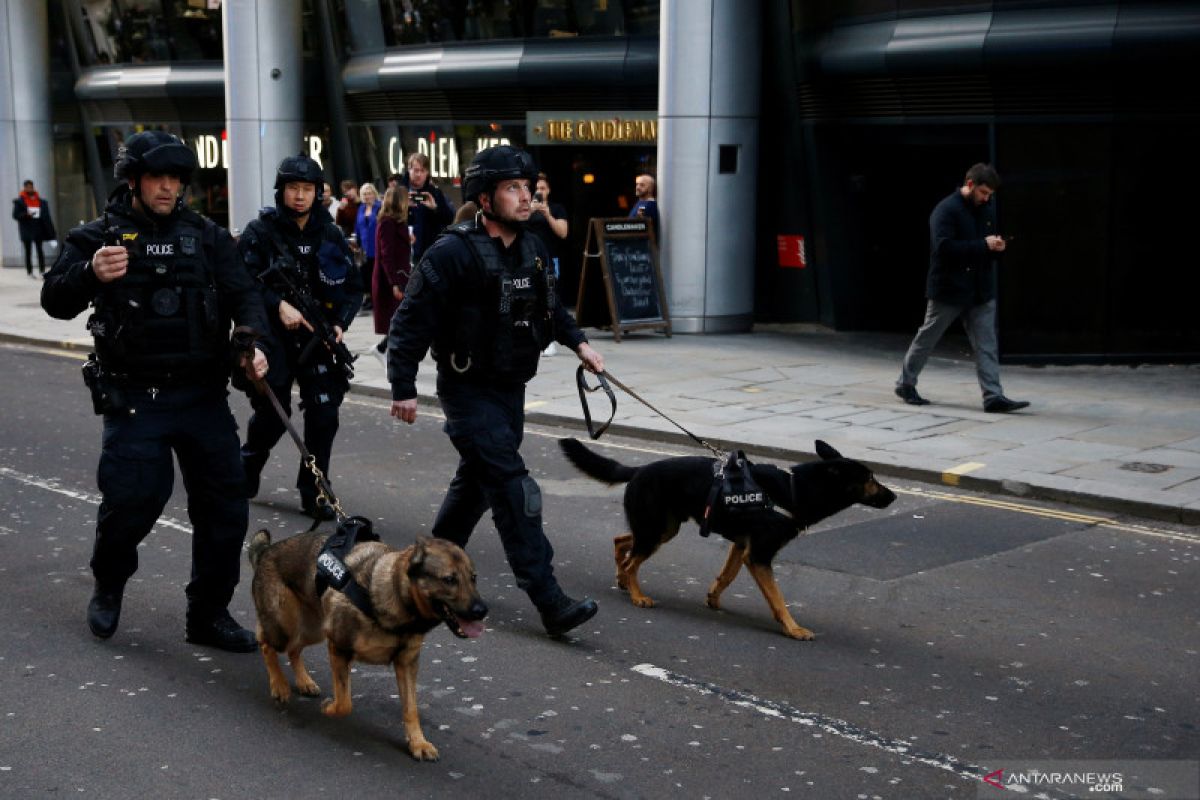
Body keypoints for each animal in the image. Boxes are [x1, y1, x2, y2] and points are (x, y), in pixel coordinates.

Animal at [40, 130, 272, 652]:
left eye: (171, 178)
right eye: (157, 178)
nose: (169, 190)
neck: (153, 222)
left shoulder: (222, 248)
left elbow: (241, 289)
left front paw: (257, 357)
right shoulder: (81, 245)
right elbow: (55, 290)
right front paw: (100, 266)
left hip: (208, 435)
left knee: (220, 500)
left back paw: (210, 620)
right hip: (136, 444)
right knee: (133, 495)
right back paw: (104, 602)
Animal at [236, 154, 360, 520]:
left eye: (306, 186)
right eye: (294, 186)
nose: (303, 196)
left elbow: (352, 286)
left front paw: (314, 493)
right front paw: (290, 314)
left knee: (320, 407)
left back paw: (316, 496)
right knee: (269, 414)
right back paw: (246, 476)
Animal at [248, 532, 487, 762]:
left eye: (474, 578)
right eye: (449, 580)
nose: (483, 611)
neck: (393, 593)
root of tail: (266, 551)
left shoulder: (407, 663)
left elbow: (411, 709)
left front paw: (417, 743)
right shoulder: (339, 648)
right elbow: (344, 703)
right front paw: (329, 708)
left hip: (313, 629)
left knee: (294, 649)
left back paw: (304, 682)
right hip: (285, 627)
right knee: (266, 643)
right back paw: (279, 685)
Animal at [388, 146, 604, 638]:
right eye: (512, 186)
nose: (528, 198)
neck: (501, 237)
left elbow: (559, 312)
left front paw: (586, 351)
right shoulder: (440, 263)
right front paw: (555, 605)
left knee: (472, 480)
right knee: (499, 476)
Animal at [559, 441, 892, 642]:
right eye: (870, 479)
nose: (893, 496)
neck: (795, 489)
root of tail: (639, 469)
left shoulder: (742, 547)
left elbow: (727, 576)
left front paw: (713, 598)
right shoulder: (758, 555)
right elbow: (778, 598)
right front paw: (793, 627)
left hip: (663, 528)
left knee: (622, 543)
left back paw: (623, 581)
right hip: (656, 531)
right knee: (632, 561)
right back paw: (637, 595)